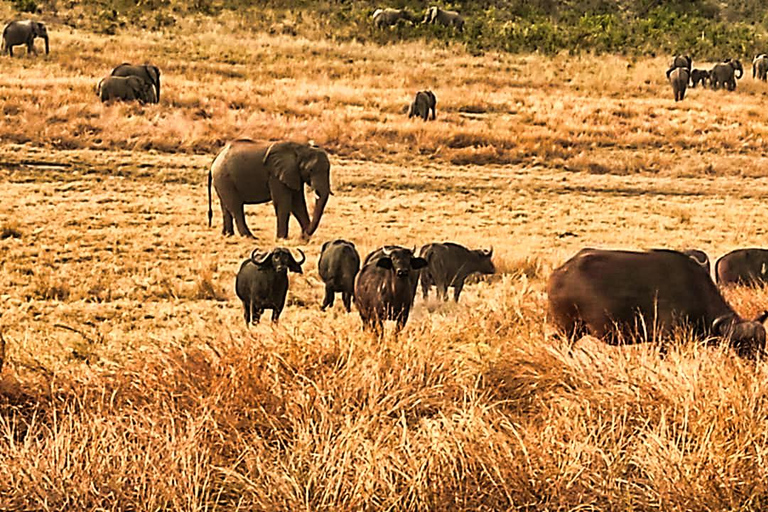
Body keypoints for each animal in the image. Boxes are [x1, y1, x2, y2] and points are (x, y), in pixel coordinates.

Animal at [548, 248, 764, 356]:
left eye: (763, 342)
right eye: (744, 345)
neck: (694, 290)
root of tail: (559, 273)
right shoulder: (666, 340)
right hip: (569, 330)